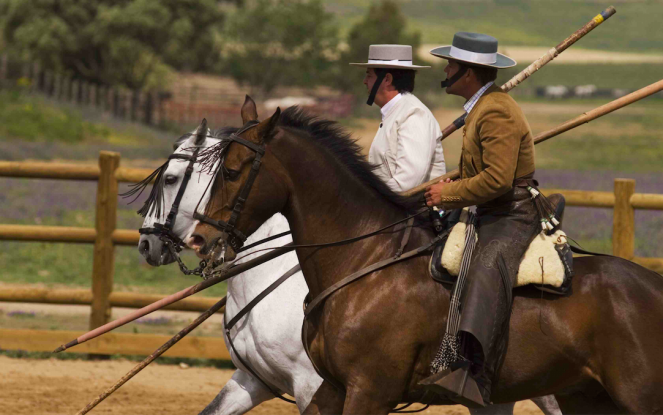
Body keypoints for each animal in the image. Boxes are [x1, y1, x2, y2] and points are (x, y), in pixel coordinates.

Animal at [189, 98, 663, 415]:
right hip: (585, 396)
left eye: (231, 171)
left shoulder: (369, 390)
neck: (364, 260)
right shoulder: (331, 388)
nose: (199, 238)